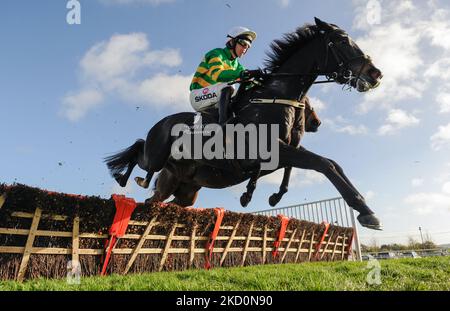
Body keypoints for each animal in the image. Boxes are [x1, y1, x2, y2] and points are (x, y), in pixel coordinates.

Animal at [104, 18, 384, 230]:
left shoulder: (284, 150)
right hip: (156, 158)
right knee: (140, 152)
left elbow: (328, 164)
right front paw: (365, 210)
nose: (375, 73)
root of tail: (160, 125)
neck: (274, 97)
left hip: (185, 191)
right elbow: (324, 164)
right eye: (342, 41)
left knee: (159, 200)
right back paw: (121, 177)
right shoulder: (272, 150)